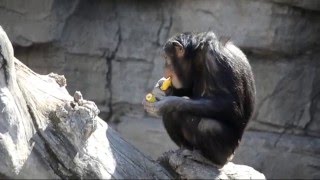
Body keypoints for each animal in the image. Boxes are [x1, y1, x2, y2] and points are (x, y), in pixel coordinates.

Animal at [142, 31, 255, 167]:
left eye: (165, 58)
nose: (164, 67)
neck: (197, 56)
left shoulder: (216, 59)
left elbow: (231, 105)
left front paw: (168, 103)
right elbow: (187, 89)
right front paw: (159, 90)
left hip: (228, 153)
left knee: (209, 125)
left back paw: (209, 160)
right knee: (171, 115)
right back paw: (183, 150)